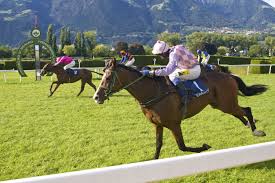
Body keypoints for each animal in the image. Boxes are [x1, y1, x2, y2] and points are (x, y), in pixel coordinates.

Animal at [93, 58, 268, 159]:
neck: (154, 92)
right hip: (220, 105)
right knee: (241, 113)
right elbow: (158, 145)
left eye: (108, 77)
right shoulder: (158, 124)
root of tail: (229, 75)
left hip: (227, 103)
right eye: (102, 75)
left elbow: (182, 147)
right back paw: (248, 125)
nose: (96, 97)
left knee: (247, 109)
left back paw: (256, 130)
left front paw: (204, 147)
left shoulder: (174, 124)